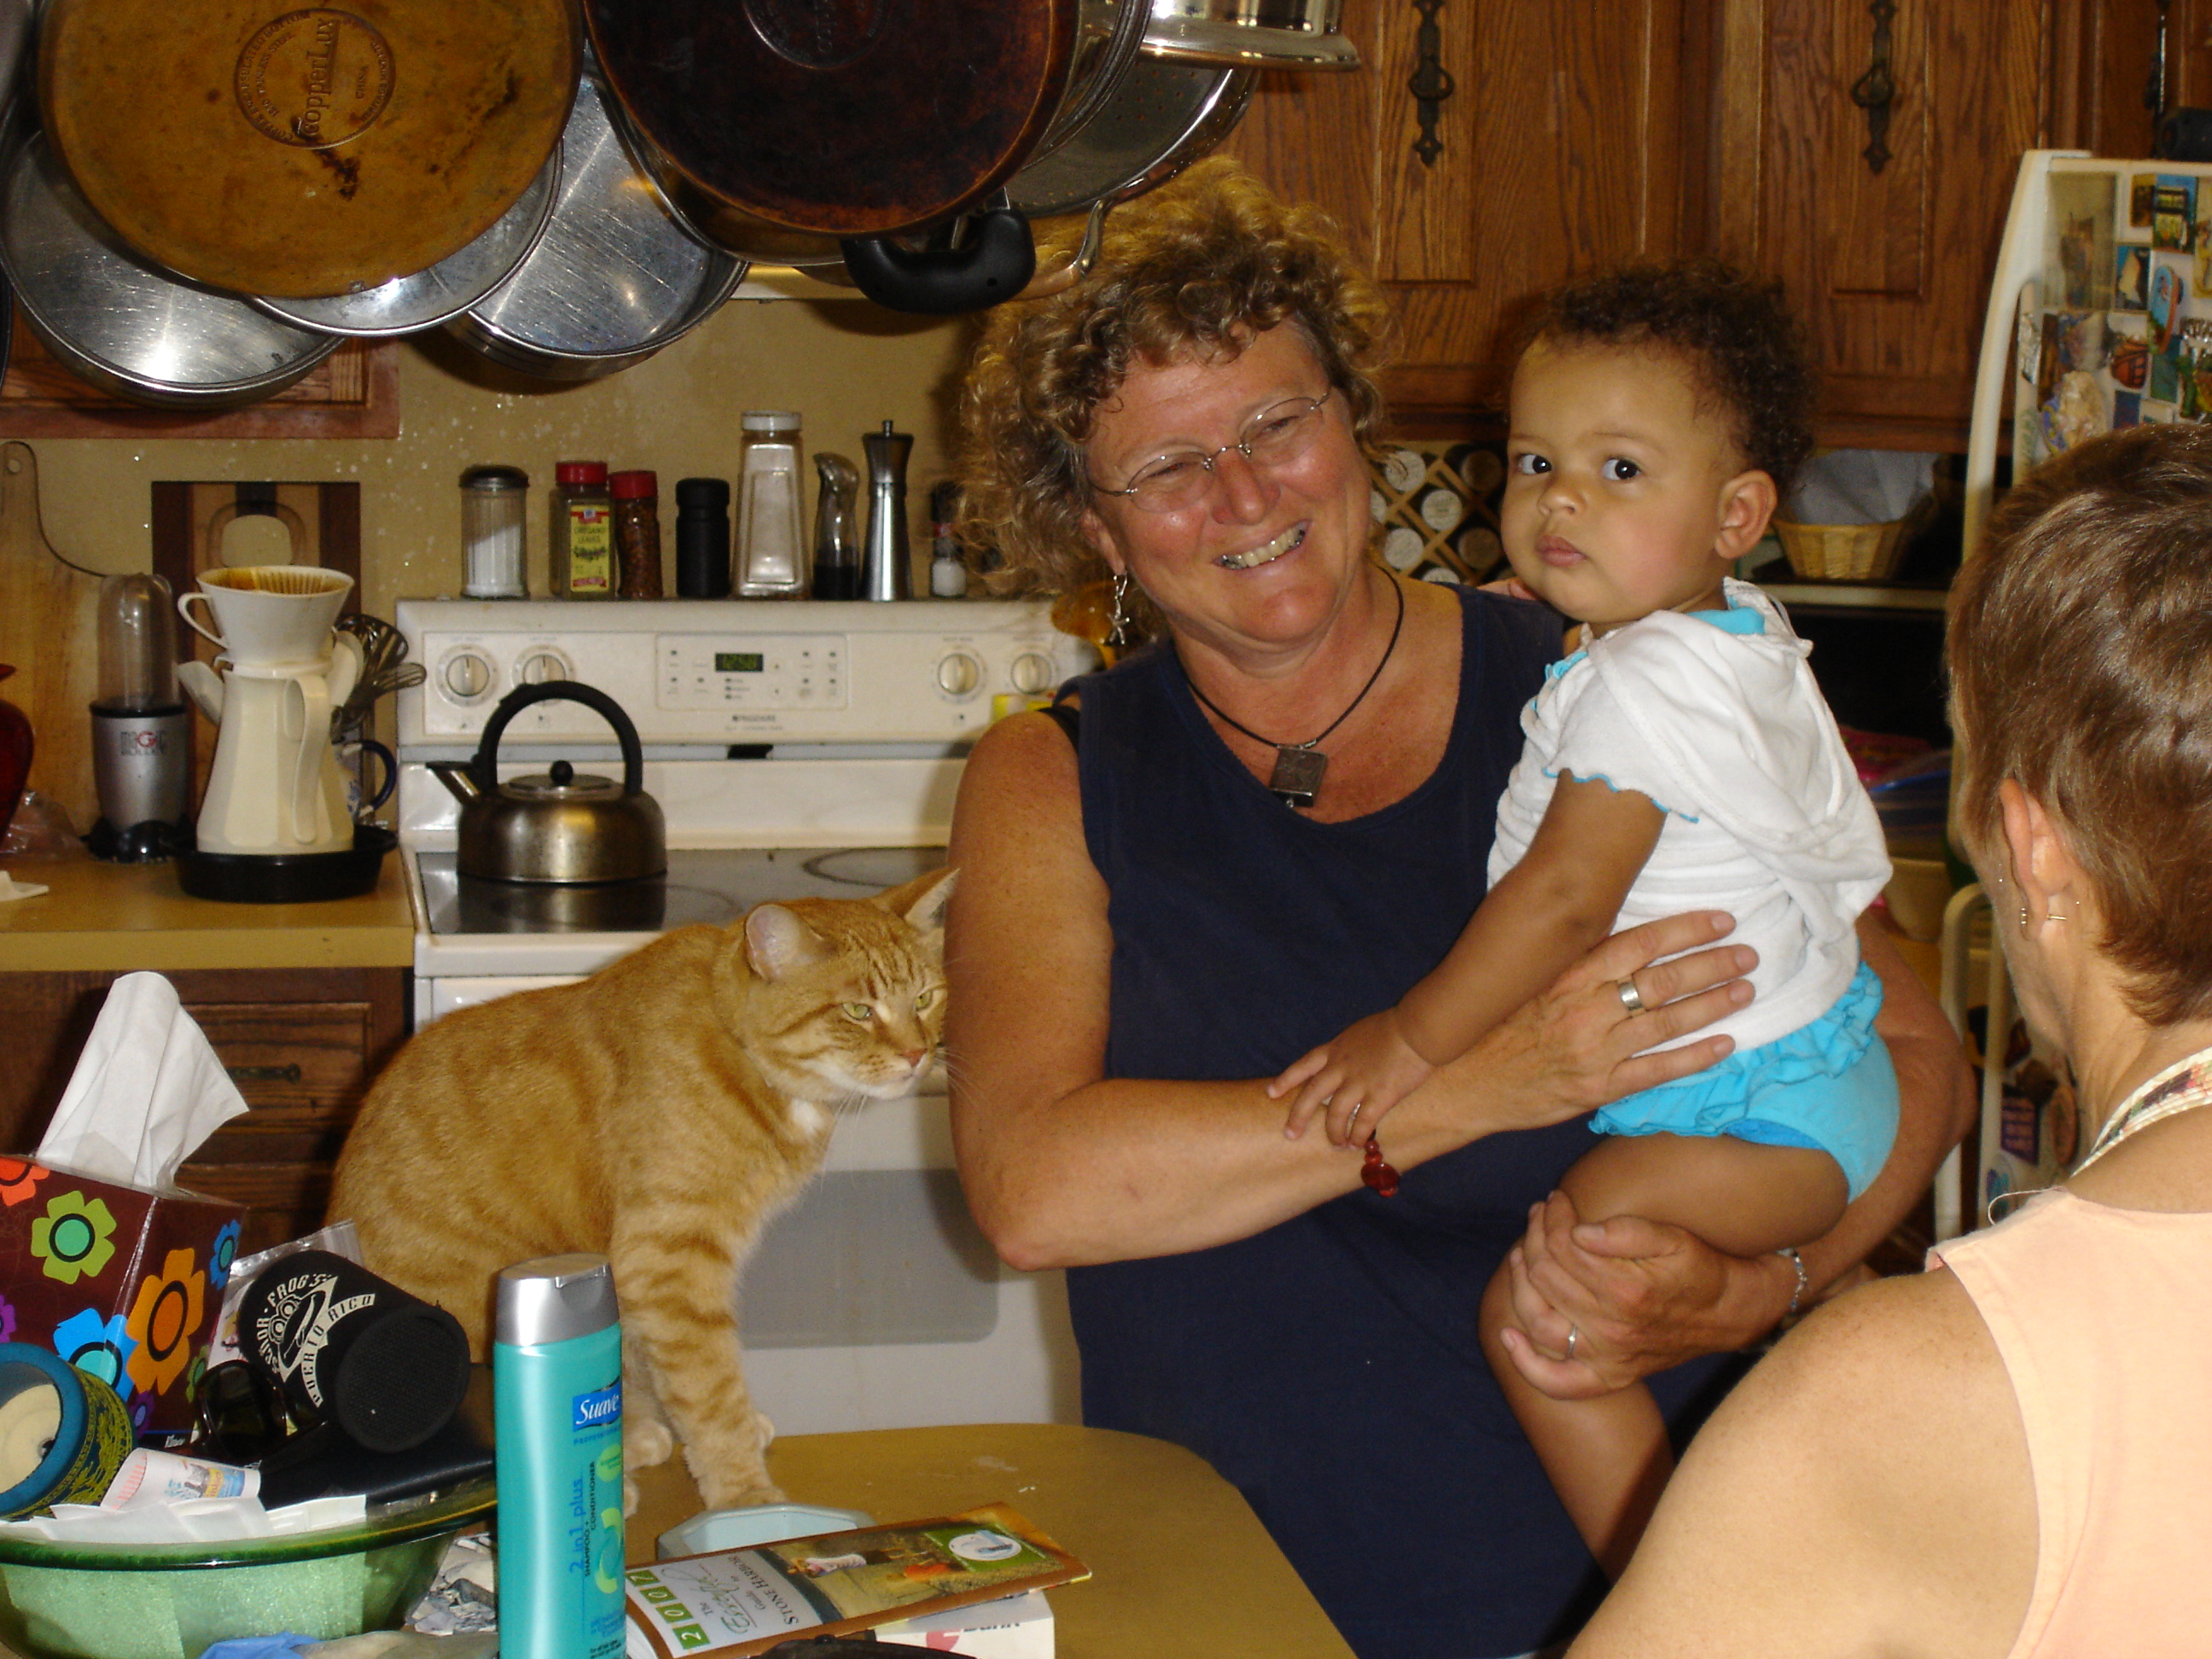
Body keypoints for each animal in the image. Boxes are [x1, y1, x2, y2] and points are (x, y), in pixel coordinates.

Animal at [325, 864, 954, 1511]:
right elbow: (709, 1385)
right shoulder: (671, 1260)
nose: (917, 1054)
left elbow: (673, 1369)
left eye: (925, 999)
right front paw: (744, 1492)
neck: (739, 1053)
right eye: (857, 1010)